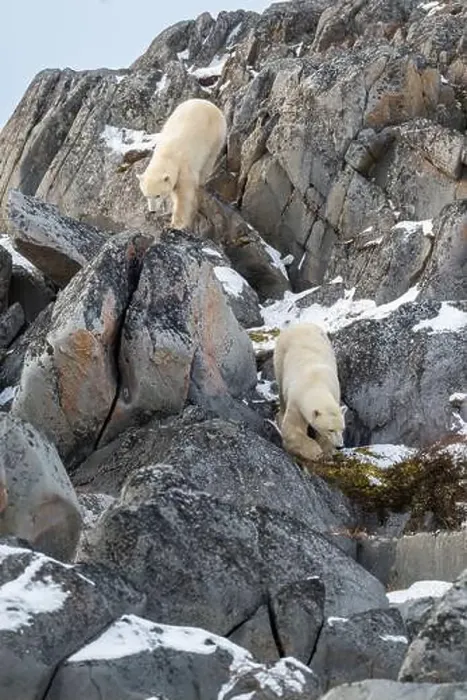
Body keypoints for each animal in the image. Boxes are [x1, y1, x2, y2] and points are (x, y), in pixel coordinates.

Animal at [137, 98, 227, 230]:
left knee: (210, 159)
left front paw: (176, 224)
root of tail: (207, 102)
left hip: (216, 134)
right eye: (146, 195)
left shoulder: (184, 168)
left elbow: (184, 195)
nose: (152, 211)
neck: (167, 155)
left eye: (158, 195)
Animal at [273, 322, 345, 462]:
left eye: (342, 428)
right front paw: (315, 451)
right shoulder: (297, 401)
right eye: (330, 430)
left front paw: (327, 452)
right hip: (280, 355)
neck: (315, 383)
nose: (340, 446)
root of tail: (299, 324)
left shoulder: (335, 391)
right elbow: (292, 428)